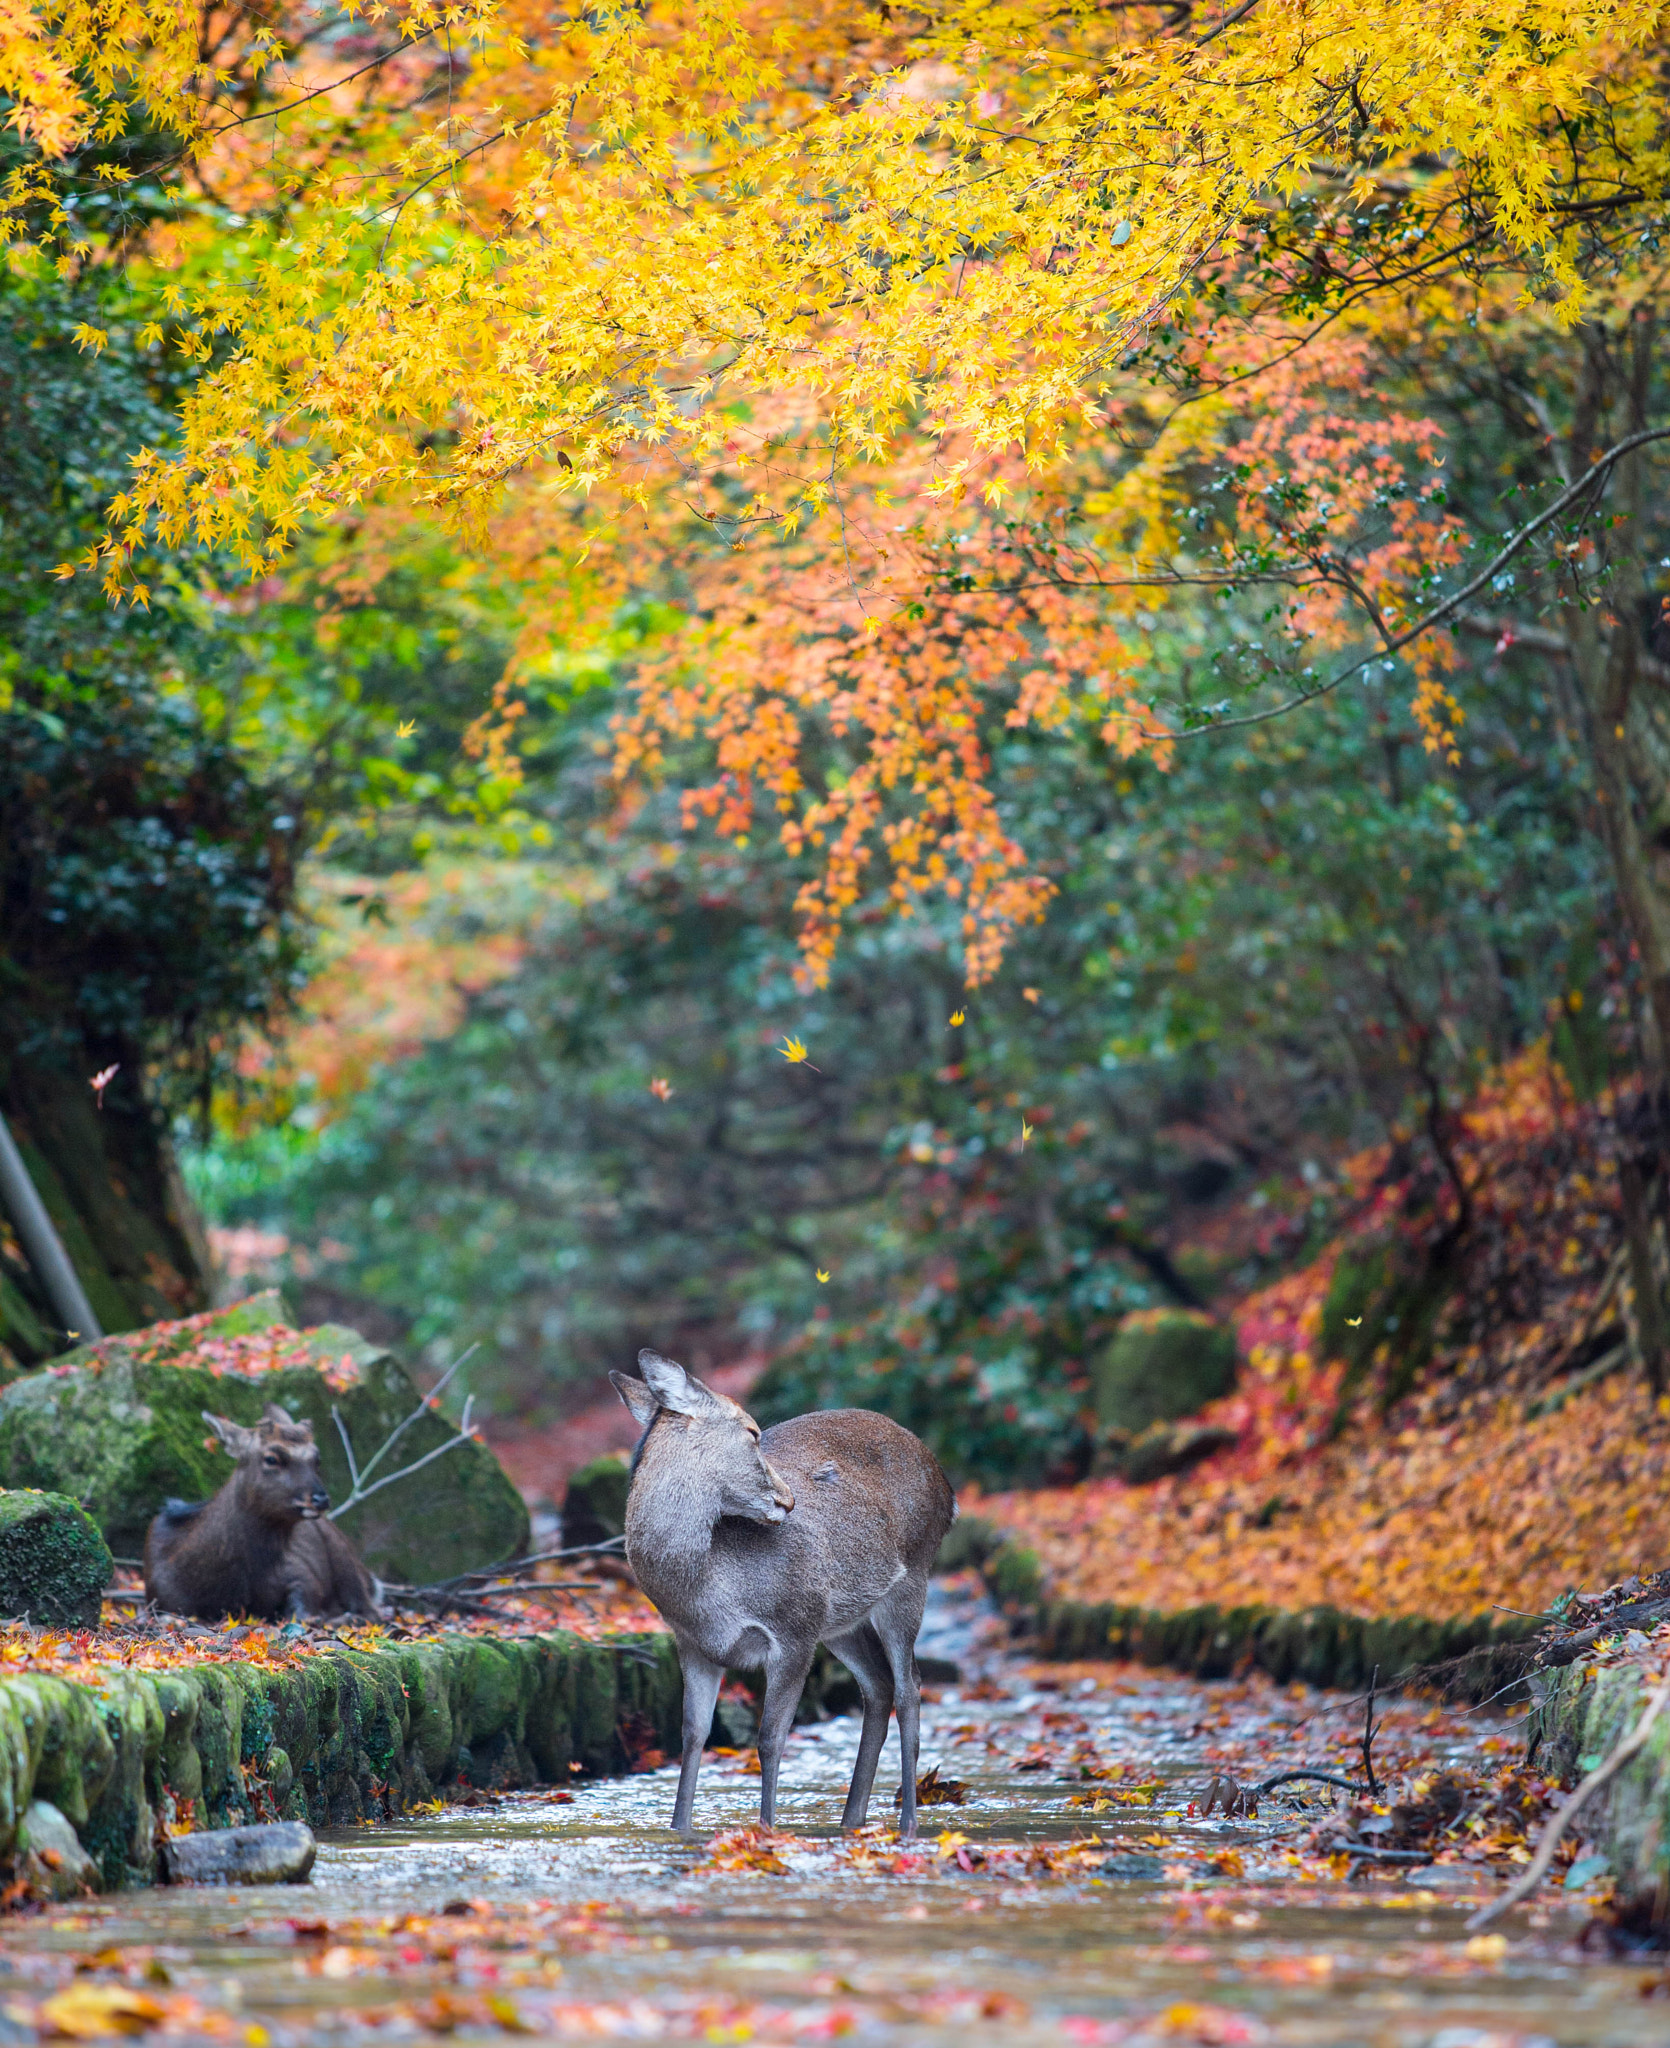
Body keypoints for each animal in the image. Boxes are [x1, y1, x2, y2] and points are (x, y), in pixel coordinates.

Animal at [144, 1405, 378, 1622]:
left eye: (316, 1459)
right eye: (271, 1458)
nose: (321, 1499)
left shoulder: (301, 1572)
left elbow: (303, 1611)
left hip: (345, 1560)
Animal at [609, 1350, 957, 1841]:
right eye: (752, 1432)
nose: (789, 1501)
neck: (708, 1590)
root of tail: (946, 1484)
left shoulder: (792, 1628)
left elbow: (770, 1738)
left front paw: (766, 1829)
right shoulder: (694, 1645)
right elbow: (692, 1734)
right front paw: (679, 1829)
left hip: (911, 1578)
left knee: (911, 1687)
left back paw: (907, 1822)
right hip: (839, 1620)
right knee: (879, 1684)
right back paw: (851, 1818)